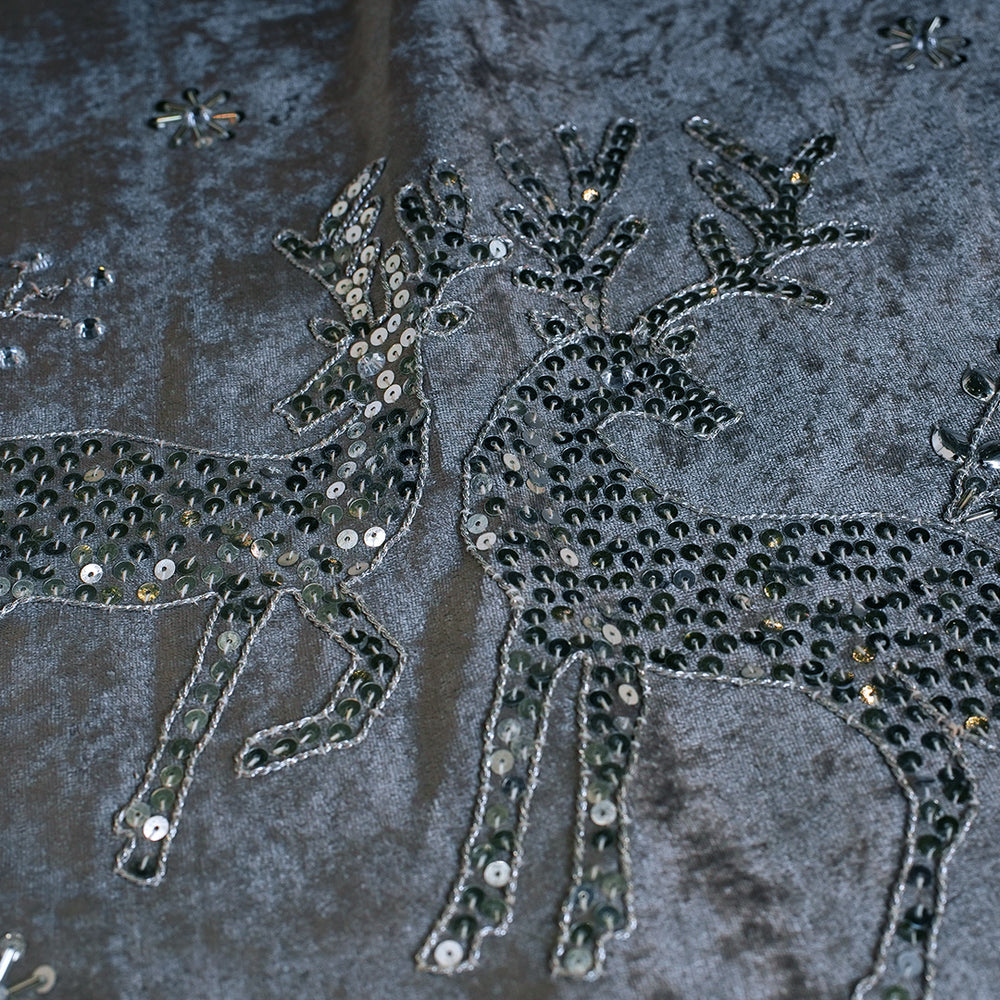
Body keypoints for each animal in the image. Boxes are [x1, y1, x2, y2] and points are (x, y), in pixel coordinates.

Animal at [0, 158, 509, 885]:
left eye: (393, 350)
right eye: (344, 343)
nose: (299, 406)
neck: (325, 486)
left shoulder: (277, 587)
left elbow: (370, 661)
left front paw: (200, 787)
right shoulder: (277, 577)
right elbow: (210, 701)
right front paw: (157, 833)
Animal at [415, 116, 994, 1000]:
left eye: (674, 360)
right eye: (638, 366)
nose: (717, 413)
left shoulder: (548, 620)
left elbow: (513, 752)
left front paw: (470, 921)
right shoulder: (605, 639)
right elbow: (603, 769)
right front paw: (591, 927)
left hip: (906, 679)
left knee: (949, 790)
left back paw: (896, 971)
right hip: (884, 690)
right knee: (946, 793)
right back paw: (893, 970)